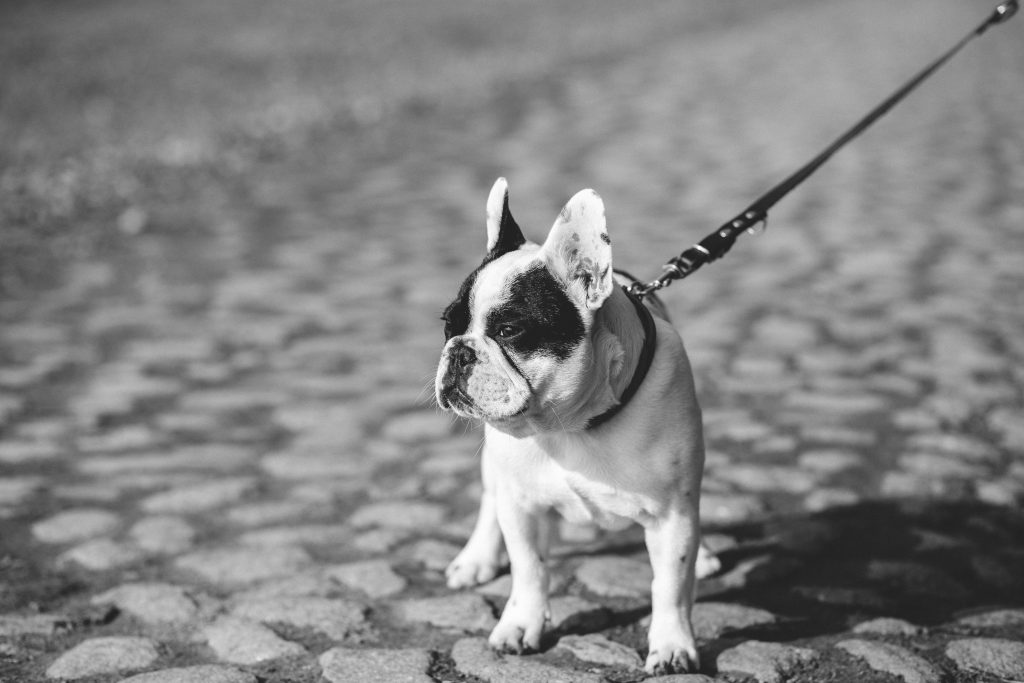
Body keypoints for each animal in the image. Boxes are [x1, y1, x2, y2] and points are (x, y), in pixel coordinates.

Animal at [434, 179, 712, 675]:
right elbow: (529, 569)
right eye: (449, 325)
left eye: (508, 330)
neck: (569, 424)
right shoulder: (521, 506)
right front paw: (520, 626)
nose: (459, 351)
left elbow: (670, 587)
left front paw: (672, 646)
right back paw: (476, 557)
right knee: (489, 499)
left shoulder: (673, 516)